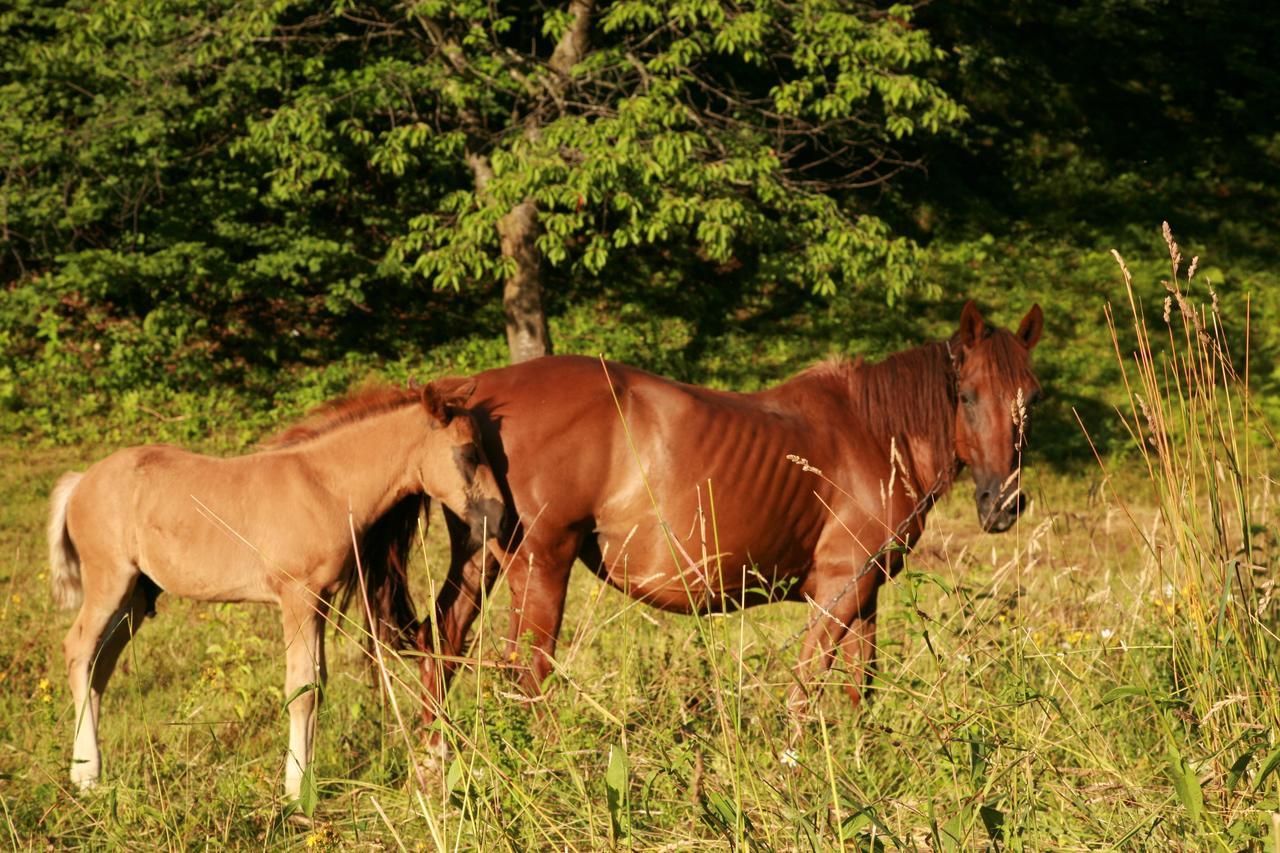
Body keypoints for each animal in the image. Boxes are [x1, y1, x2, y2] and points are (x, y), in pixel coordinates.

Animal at [46, 379, 504, 799]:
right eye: (469, 452)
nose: (499, 521)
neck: (326, 485)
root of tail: (81, 481)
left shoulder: (319, 600)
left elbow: (318, 683)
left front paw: (308, 779)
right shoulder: (297, 597)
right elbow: (301, 688)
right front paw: (297, 791)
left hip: (136, 597)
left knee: (100, 665)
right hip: (110, 581)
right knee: (78, 650)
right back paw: (85, 775)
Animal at [417, 302, 1039, 732]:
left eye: (1030, 396)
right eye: (966, 395)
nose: (1003, 505)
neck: (873, 434)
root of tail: (480, 396)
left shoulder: (864, 593)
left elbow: (858, 687)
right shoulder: (839, 589)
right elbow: (807, 687)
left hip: (482, 558)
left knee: (443, 641)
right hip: (540, 564)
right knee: (527, 674)